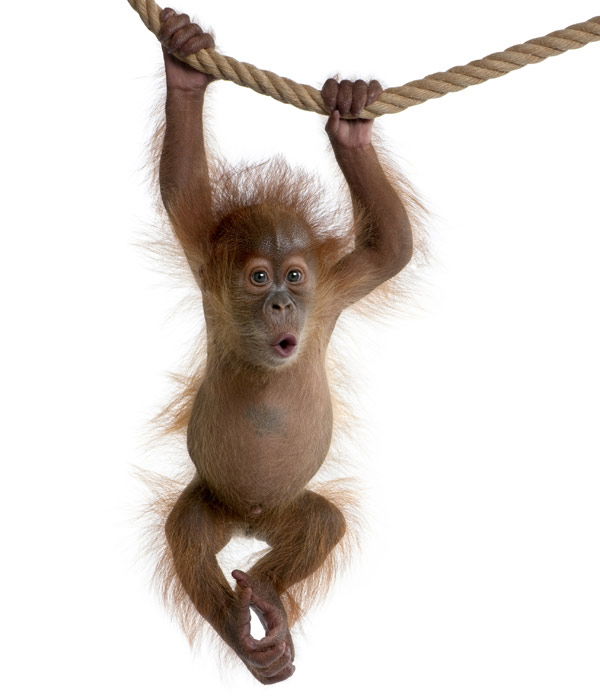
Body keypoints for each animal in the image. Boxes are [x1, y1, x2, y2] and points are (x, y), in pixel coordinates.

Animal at [148, 8, 422, 684]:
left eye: (294, 275)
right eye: (258, 278)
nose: (280, 304)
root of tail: (250, 521)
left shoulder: (334, 292)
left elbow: (392, 247)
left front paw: (350, 120)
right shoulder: (208, 266)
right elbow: (182, 187)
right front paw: (184, 69)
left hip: (286, 510)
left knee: (322, 522)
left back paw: (268, 603)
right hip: (215, 501)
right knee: (188, 533)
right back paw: (246, 635)